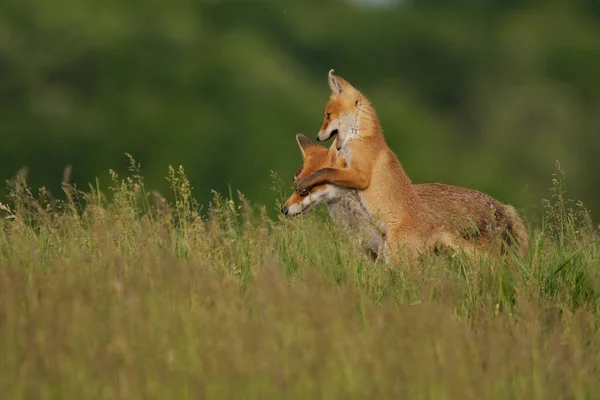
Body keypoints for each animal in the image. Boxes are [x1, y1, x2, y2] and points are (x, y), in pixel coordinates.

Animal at [292, 69, 528, 262]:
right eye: (293, 182)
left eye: (327, 115)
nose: (285, 209)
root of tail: (505, 208)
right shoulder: (365, 252)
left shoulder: (361, 177)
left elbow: (327, 170)